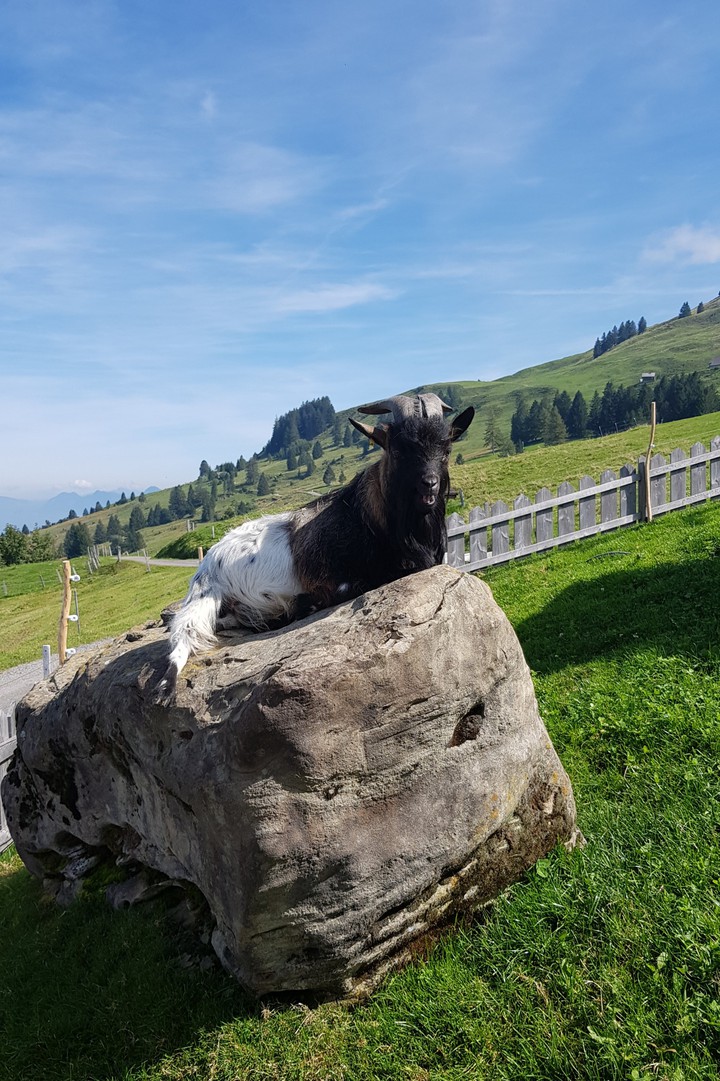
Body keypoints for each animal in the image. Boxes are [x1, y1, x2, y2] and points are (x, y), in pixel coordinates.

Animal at [157, 393, 474, 700]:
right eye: (397, 451)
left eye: (446, 450)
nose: (430, 485)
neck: (366, 516)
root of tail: (209, 557)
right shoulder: (332, 578)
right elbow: (353, 585)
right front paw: (305, 604)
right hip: (205, 595)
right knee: (184, 631)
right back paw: (165, 688)